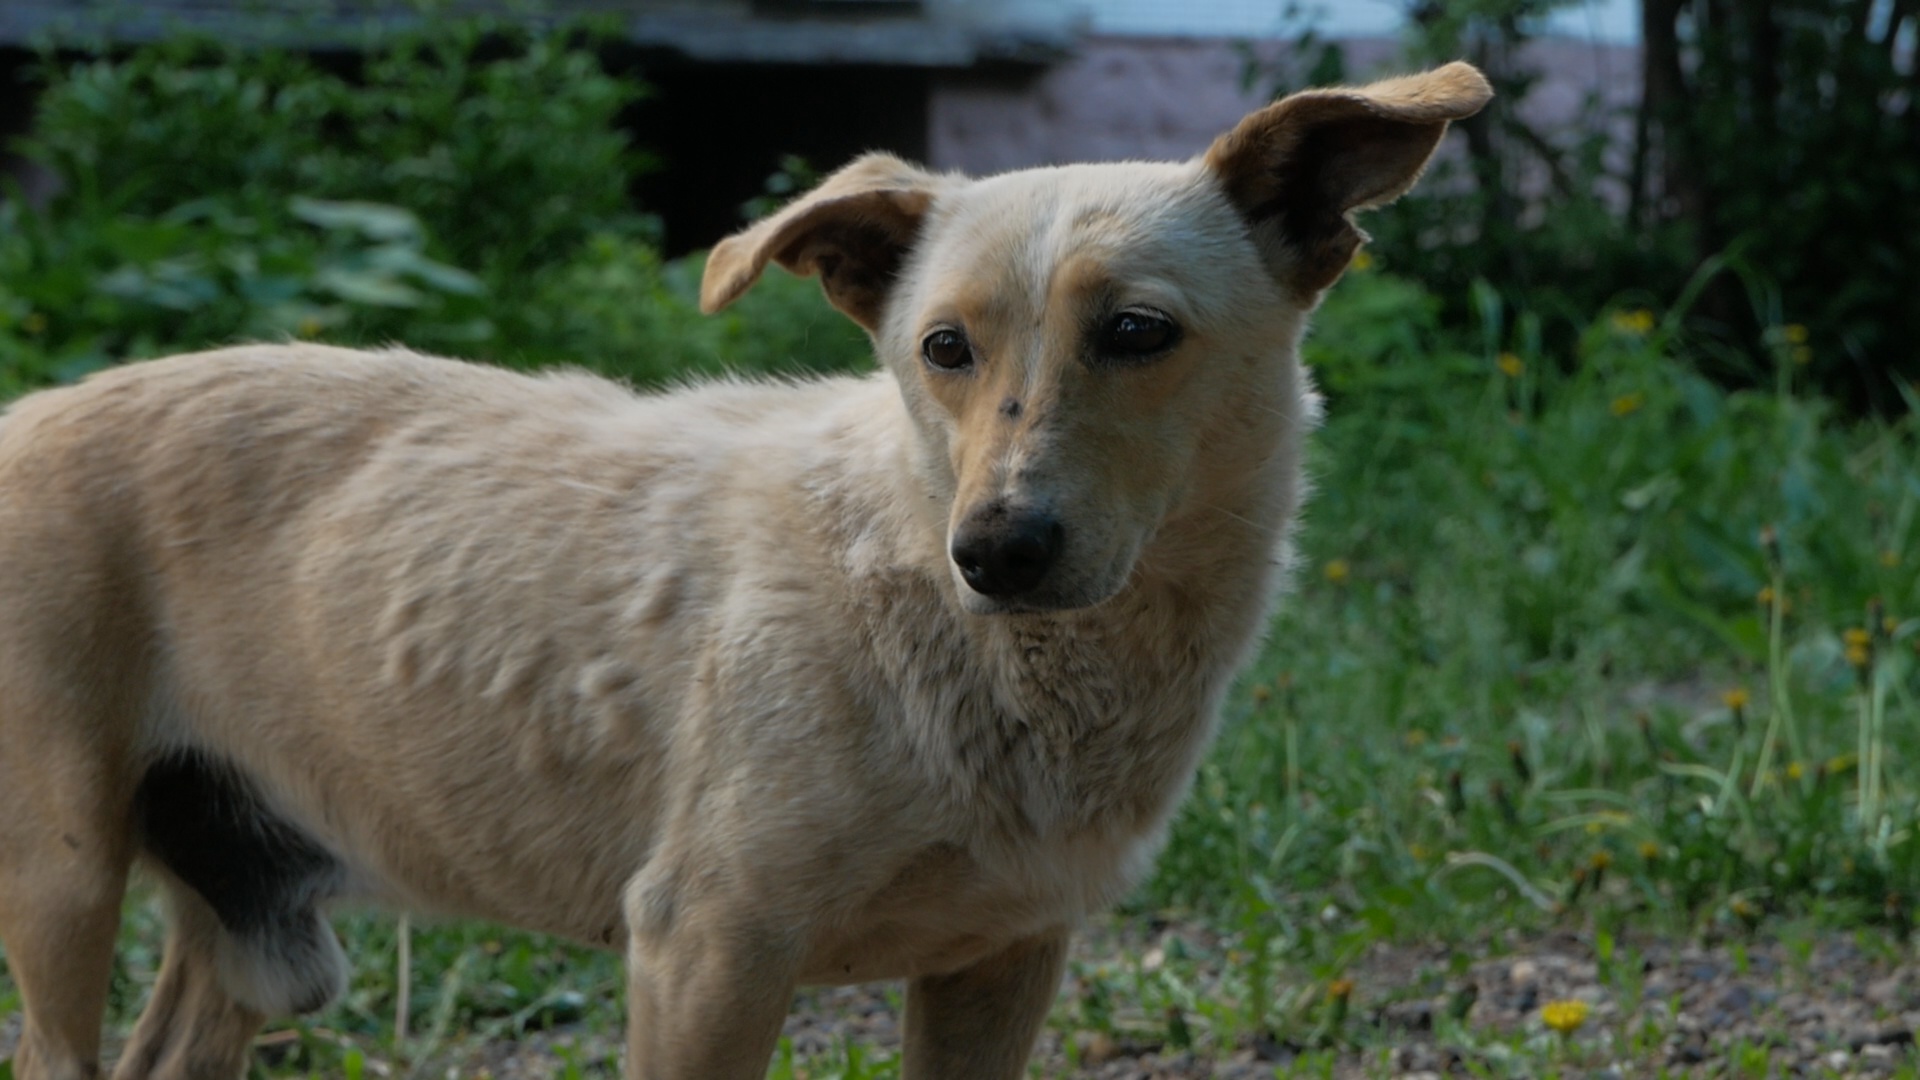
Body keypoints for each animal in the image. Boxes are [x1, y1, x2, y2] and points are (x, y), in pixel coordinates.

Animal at [0, 62, 1482, 1068]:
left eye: (1137, 331)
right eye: (942, 348)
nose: (995, 551)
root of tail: (24, 409)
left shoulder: (1005, 960)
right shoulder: (705, 950)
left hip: (252, 935)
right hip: (61, 886)